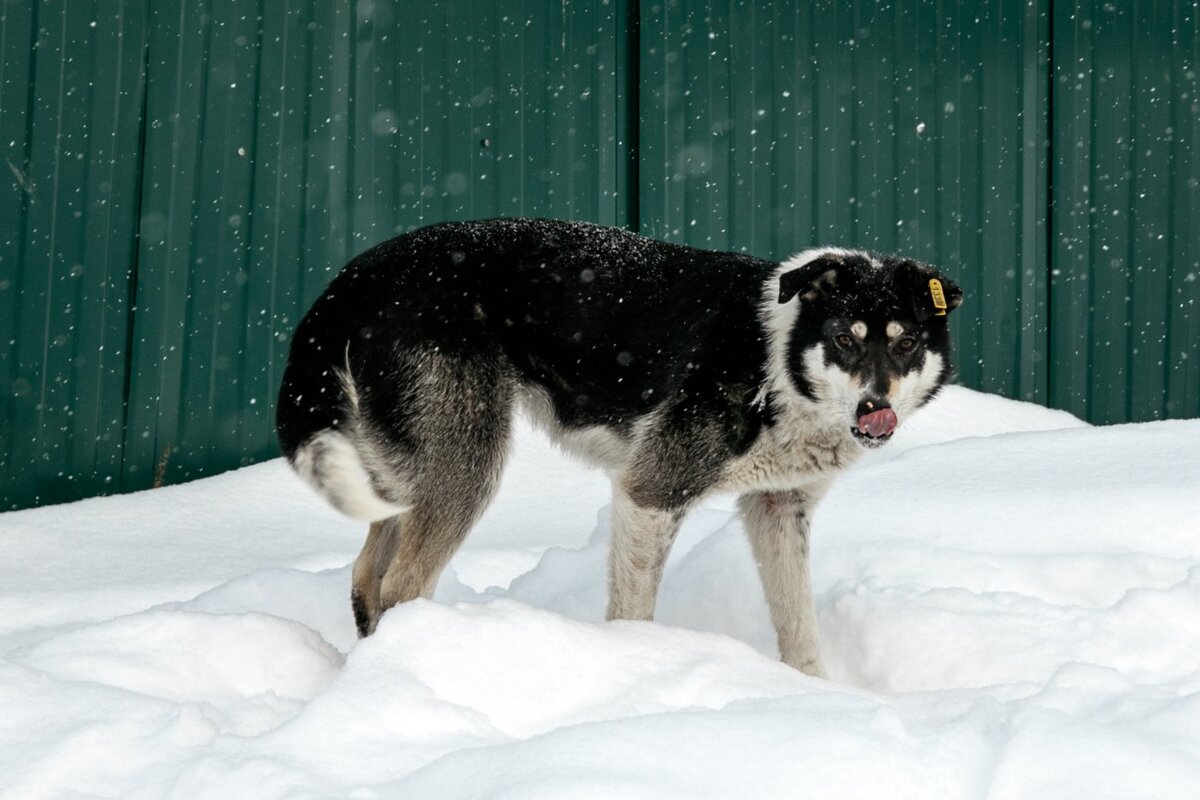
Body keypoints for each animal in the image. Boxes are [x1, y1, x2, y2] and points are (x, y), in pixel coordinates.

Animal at [276, 217, 960, 676]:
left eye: (905, 343)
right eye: (846, 338)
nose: (875, 410)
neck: (780, 362)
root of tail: (356, 277)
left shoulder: (777, 508)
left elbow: (799, 628)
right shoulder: (651, 492)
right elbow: (634, 610)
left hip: (405, 464)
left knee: (367, 576)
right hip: (467, 461)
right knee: (401, 585)